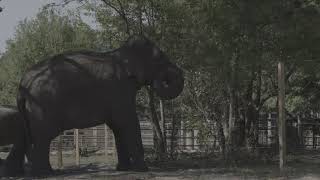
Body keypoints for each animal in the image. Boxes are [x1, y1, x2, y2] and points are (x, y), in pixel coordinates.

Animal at [5, 35, 184, 176]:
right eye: (160, 58)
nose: (161, 80)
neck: (121, 55)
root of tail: (22, 83)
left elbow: (118, 127)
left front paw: (123, 169)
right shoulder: (118, 90)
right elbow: (128, 123)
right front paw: (143, 169)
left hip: (30, 110)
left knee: (26, 136)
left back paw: (20, 172)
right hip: (42, 107)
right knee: (42, 137)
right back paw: (45, 173)